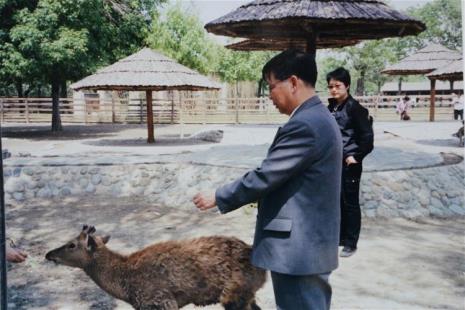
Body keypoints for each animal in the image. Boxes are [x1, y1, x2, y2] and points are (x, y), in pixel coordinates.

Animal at [46, 225, 266, 310]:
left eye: (71, 245)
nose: (49, 254)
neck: (124, 288)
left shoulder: (160, 302)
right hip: (247, 294)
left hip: (234, 294)